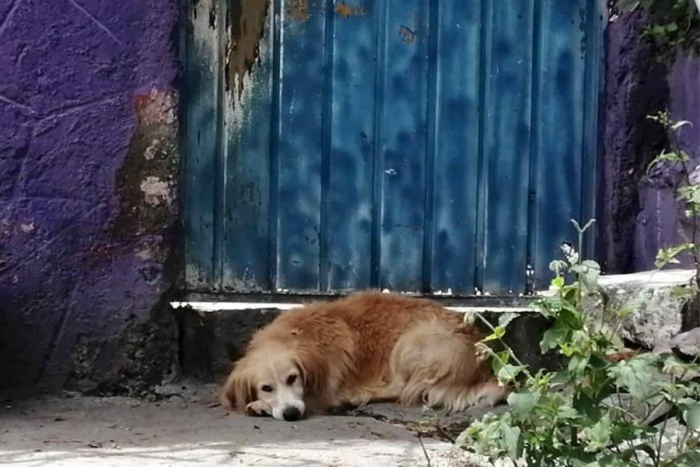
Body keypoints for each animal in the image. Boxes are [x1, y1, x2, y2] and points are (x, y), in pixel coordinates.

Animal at [221, 292, 506, 420]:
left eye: (293, 378)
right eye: (266, 387)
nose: (291, 413)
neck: (297, 334)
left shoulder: (323, 388)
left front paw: (259, 406)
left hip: (410, 343)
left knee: (400, 388)